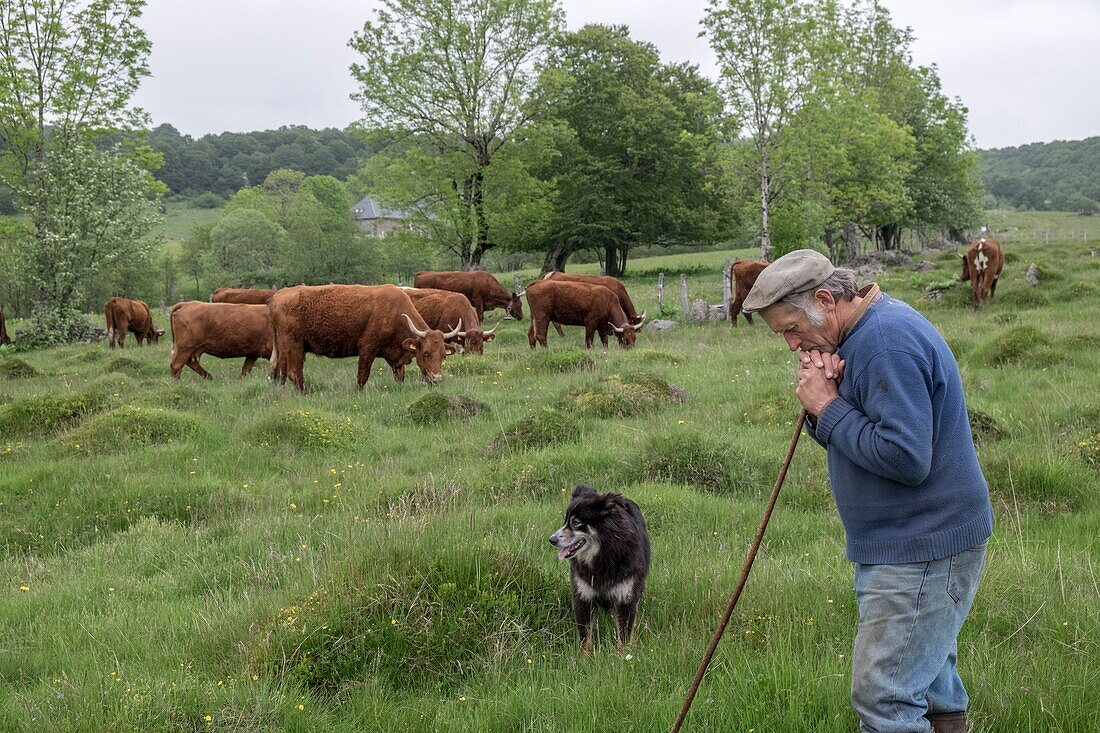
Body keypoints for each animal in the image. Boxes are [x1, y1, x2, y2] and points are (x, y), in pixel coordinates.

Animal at [547, 484, 646, 651]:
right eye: (565, 521)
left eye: (576, 522)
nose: (551, 540)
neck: (604, 555)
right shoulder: (583, 596)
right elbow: (585, 636)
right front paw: (584, 657)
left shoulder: (626, 597)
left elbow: (624, 635)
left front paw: (624, 655)